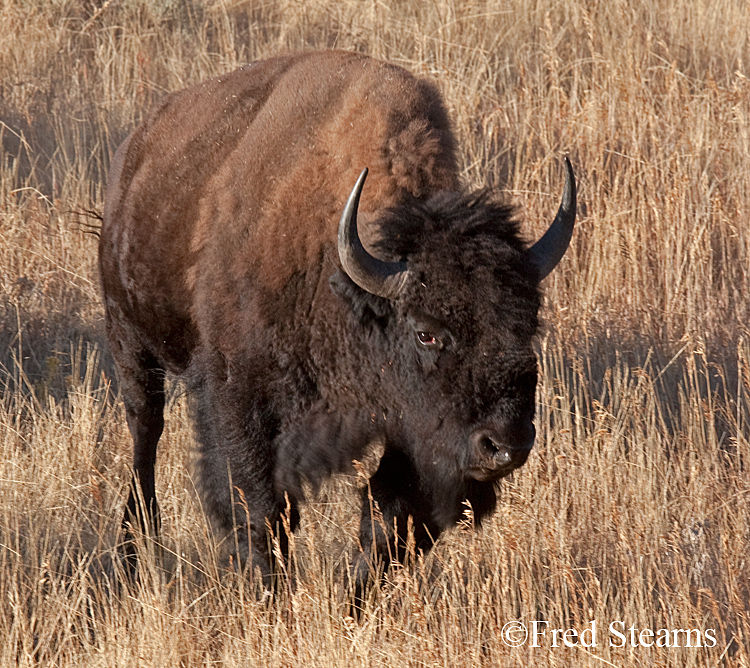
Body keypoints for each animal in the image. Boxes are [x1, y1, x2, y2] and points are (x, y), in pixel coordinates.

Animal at [100, 51, 580, 596]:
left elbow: (389, 520)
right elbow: (260, 509)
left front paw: (352, 602)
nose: (504, 446)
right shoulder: (239, 396)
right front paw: (269, 595)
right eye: (427, 332)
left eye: (528, 326)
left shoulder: (412, 432)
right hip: (129, 337)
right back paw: (133, 547)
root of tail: (135, 150)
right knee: (145, 430)